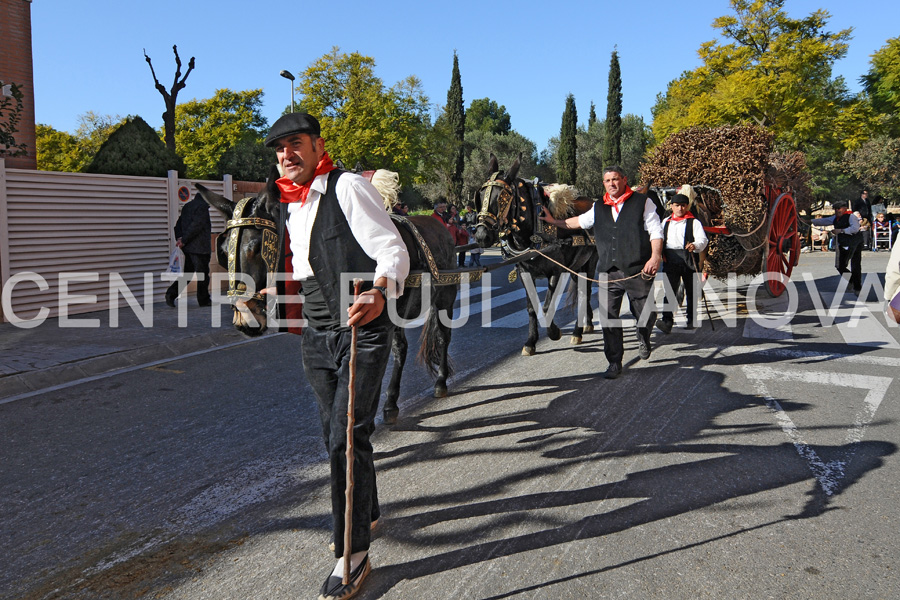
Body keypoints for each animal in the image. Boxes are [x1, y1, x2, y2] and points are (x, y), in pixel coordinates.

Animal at [200, 171, 460, 424]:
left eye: (256, 246)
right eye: (222, 251)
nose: (245, 319)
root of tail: (441, 227)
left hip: (445, 297)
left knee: (442, 336)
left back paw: (440, 381)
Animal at [472, 155, 596, 356]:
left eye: (502, 198)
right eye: (481, 196)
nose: (482, 235)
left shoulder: (556, 272)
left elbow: (547, 306)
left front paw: (554, 332)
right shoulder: (525, 273)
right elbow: (531, 308)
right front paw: (531, 341)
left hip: (591, 263)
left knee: (585, 293)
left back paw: (577, 331)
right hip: (575, 267)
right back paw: (588, 323)